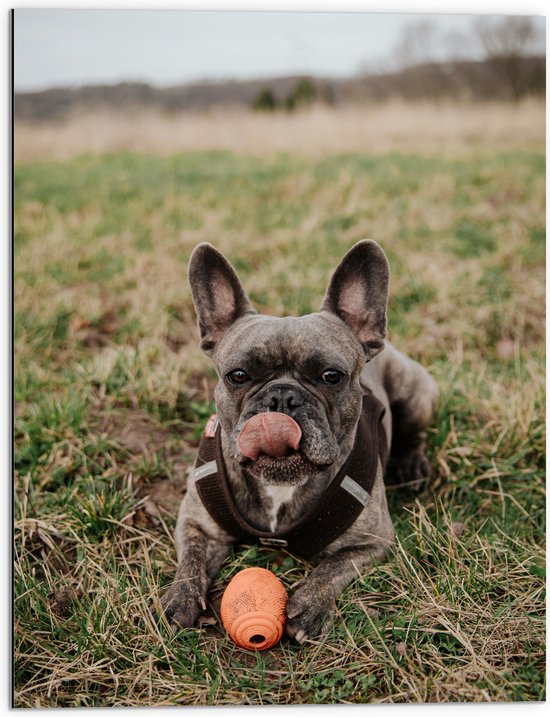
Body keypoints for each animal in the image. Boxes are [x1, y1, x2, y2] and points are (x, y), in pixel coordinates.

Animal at [158, 242, 440, 644]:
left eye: (332, 376)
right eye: (237, 376)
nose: (282, 397)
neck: (280, 486)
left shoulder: (371, 541)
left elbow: (335, 567)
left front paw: (309, 604)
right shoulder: (197, 524)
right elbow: (190, 561)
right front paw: (180, 597)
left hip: (416, 392)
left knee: (414, 433)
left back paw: (411, 465)